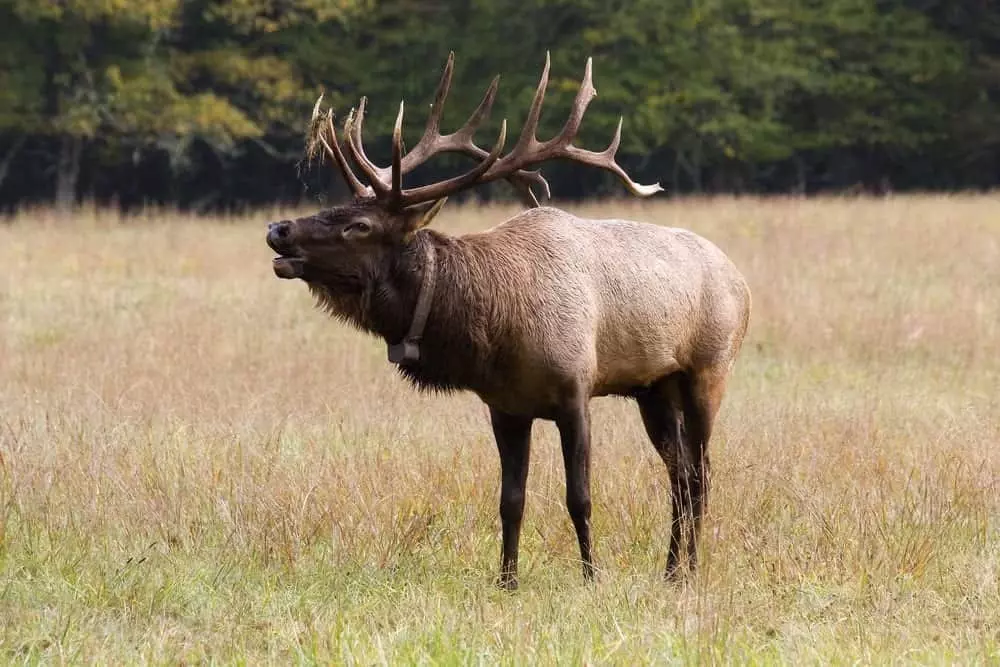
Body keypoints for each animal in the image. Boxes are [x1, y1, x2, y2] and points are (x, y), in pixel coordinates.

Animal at [266, 52, 752, 588]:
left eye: (359, 225)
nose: (278, 229)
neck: (499, 332)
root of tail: (741, 280)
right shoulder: (505, 407)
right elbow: (510, 501)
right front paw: (507, 580)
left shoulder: (575, 391)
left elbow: (579, 497)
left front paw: (591, 577)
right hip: (654, 387)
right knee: (679, 473)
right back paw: (668, 570)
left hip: (709, 369)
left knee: (700, 473)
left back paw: (689, 570)